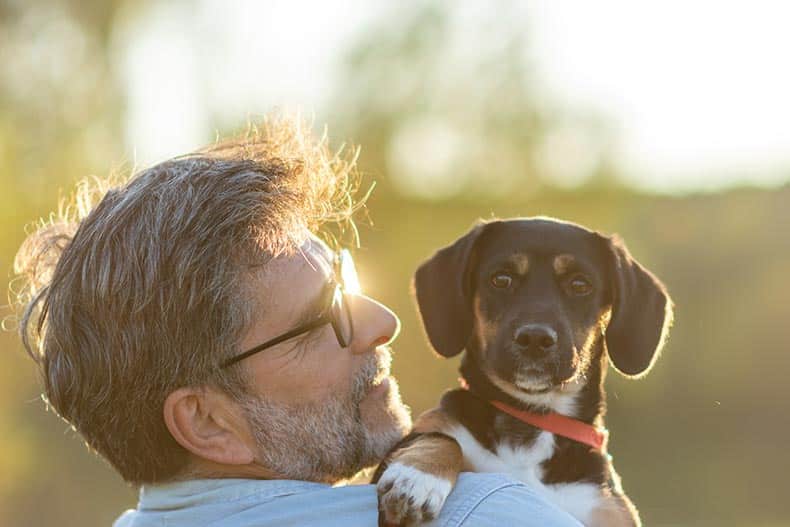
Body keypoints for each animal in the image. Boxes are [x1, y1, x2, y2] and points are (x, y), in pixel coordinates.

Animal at [376, 217, 676, 524]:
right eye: (501, 279)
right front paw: (417, 478)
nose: (535, 338)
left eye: (580, 284)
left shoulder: (607, 508)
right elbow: (443, 438)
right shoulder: (437, 427)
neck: (533, 418)